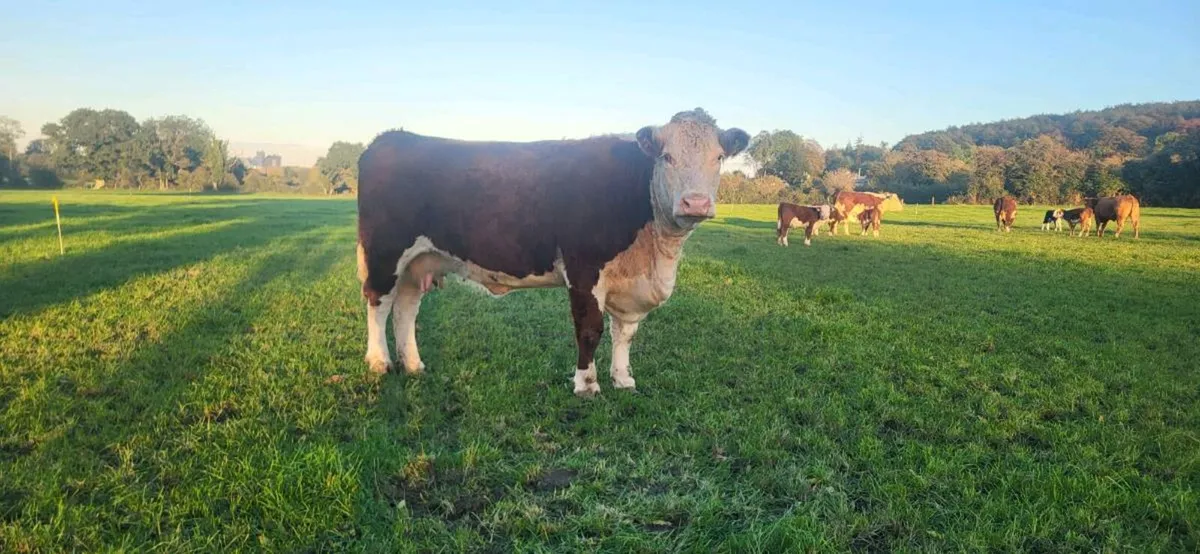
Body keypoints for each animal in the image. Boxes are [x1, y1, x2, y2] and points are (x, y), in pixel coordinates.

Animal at [355, 109, 750, 397]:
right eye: (667, 157)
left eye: (718, 158)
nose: (696, 203)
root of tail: (391, 137)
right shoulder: (583, 268)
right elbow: (590, 329)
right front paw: (587, 384)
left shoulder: (628, 284)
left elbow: (624, 333)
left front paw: (623, 379)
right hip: (385, 252)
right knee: (378, 302)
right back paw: (379, 362)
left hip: (418, 262)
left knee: (406, 309)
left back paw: (413, 365)